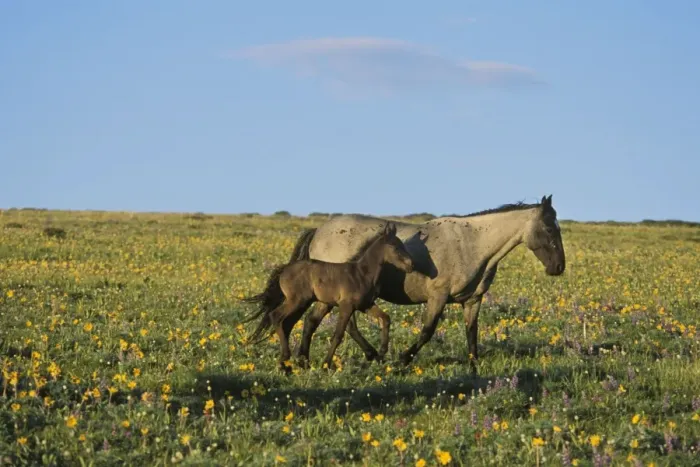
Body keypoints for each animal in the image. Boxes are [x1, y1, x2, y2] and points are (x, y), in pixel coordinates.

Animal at [241, 222, 416, 371]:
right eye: (394, 246)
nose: (411, 265)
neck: (362, 274)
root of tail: (284, 270)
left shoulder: (365, 305)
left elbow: (385, 318)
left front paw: (381, 352)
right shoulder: (346, 306)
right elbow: (338, 335)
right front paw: (326, 364)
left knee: (286, 322)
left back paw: (291, 363)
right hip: (297, 300)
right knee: (276, 316)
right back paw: (285, 360)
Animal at [288, 195, 566, 372]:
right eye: (549, 228)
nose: (558, 267)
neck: (473, 244)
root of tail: (318, 231)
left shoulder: (473, 300)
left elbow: (472, 332)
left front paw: (474, 366)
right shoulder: (438, 297)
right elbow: (427, 331)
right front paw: (403, 359)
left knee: (316, 322)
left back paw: (308, 360)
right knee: (336, 324)